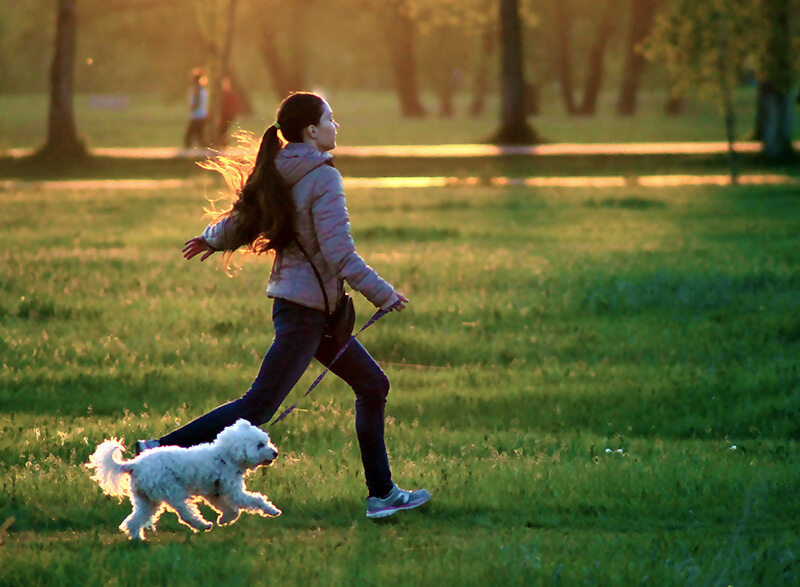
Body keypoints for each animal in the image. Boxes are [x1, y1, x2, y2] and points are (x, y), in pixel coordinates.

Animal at [86, 418, 282, 544]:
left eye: (266, 441)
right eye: (260, 445)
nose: (275, 453)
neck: (226, 455)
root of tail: (135, 464)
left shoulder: (215, 493)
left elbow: (231, 509)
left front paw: (225, 519)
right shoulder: (233, 492)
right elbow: (254, 500)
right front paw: (272, 510)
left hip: (146, 499)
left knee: (135, 520)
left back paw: (137, 540)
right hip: (173, 492)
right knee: (186, 514)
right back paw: (203, 525)